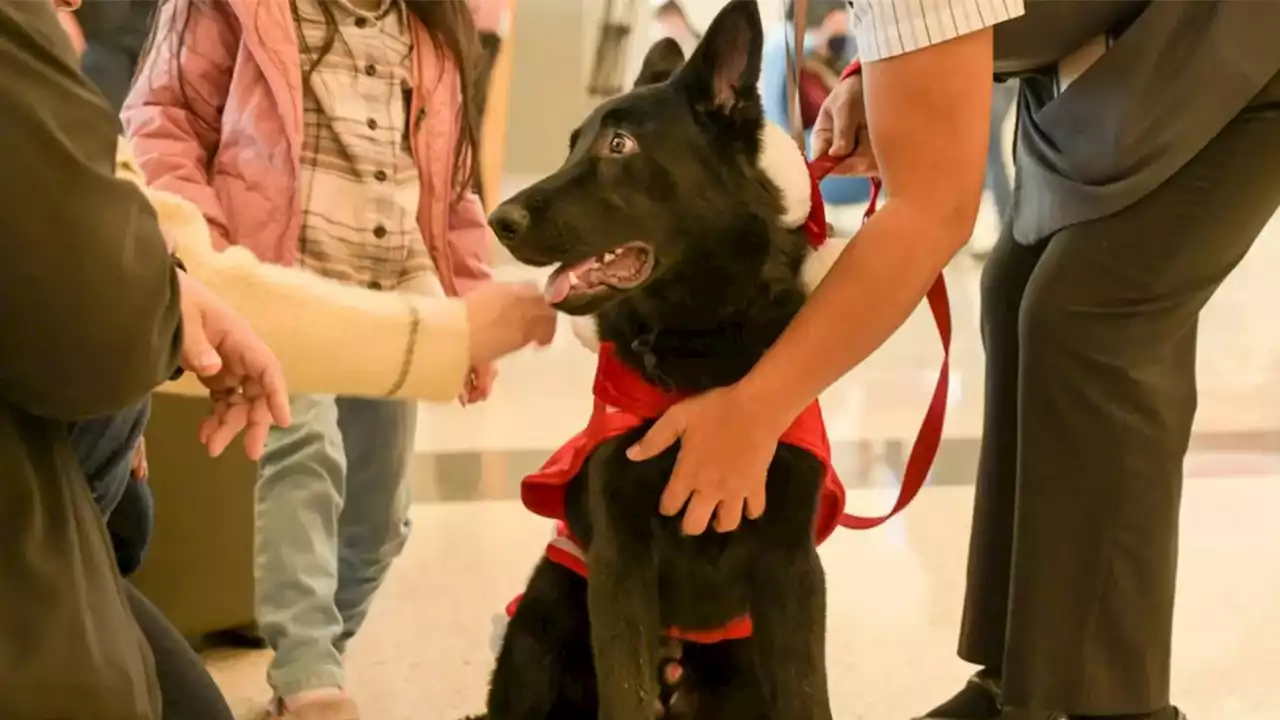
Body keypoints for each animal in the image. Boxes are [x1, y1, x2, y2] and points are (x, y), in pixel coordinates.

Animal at [471, 2, 839, 712]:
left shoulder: (792, 567)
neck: (697, 345)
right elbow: (627, 692)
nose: (499, 219)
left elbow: (809, 695)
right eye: (573, 144)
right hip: (543, 618)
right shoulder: (620, 564)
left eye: (620, 146)